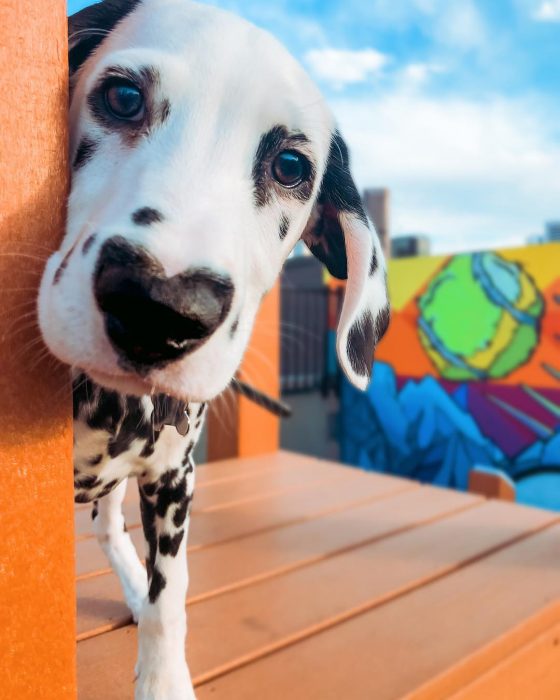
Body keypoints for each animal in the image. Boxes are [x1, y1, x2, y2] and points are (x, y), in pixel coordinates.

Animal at [37, 2, 390, 696]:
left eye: (290, 166)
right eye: (122, 97)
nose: (161, 307)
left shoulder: (175, 479)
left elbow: (169, 597)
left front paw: (163, 675)